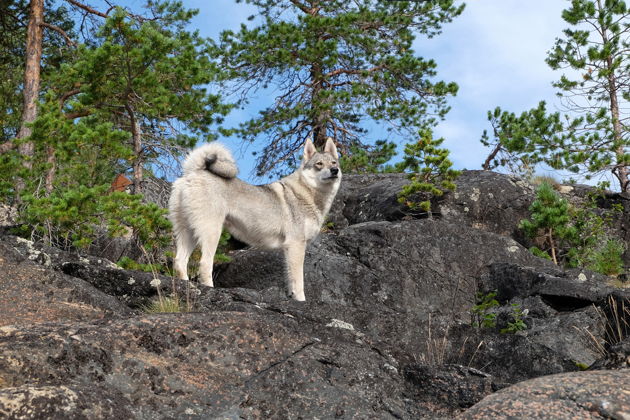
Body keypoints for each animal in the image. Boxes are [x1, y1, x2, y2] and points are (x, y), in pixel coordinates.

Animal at [168, 139, 344, 300]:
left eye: (334, 162)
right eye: (319, 164)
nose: (334, 170)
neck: (308, 194)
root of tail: (194, 172)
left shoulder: (288, 250)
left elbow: (290, 280)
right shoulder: (296, 245)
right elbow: (298, 281)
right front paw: (301, 301)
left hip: (188, 233)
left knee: (179, 262)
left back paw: (187, 288)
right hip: (212, 233)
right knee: (205, 264)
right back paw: (210, 291)